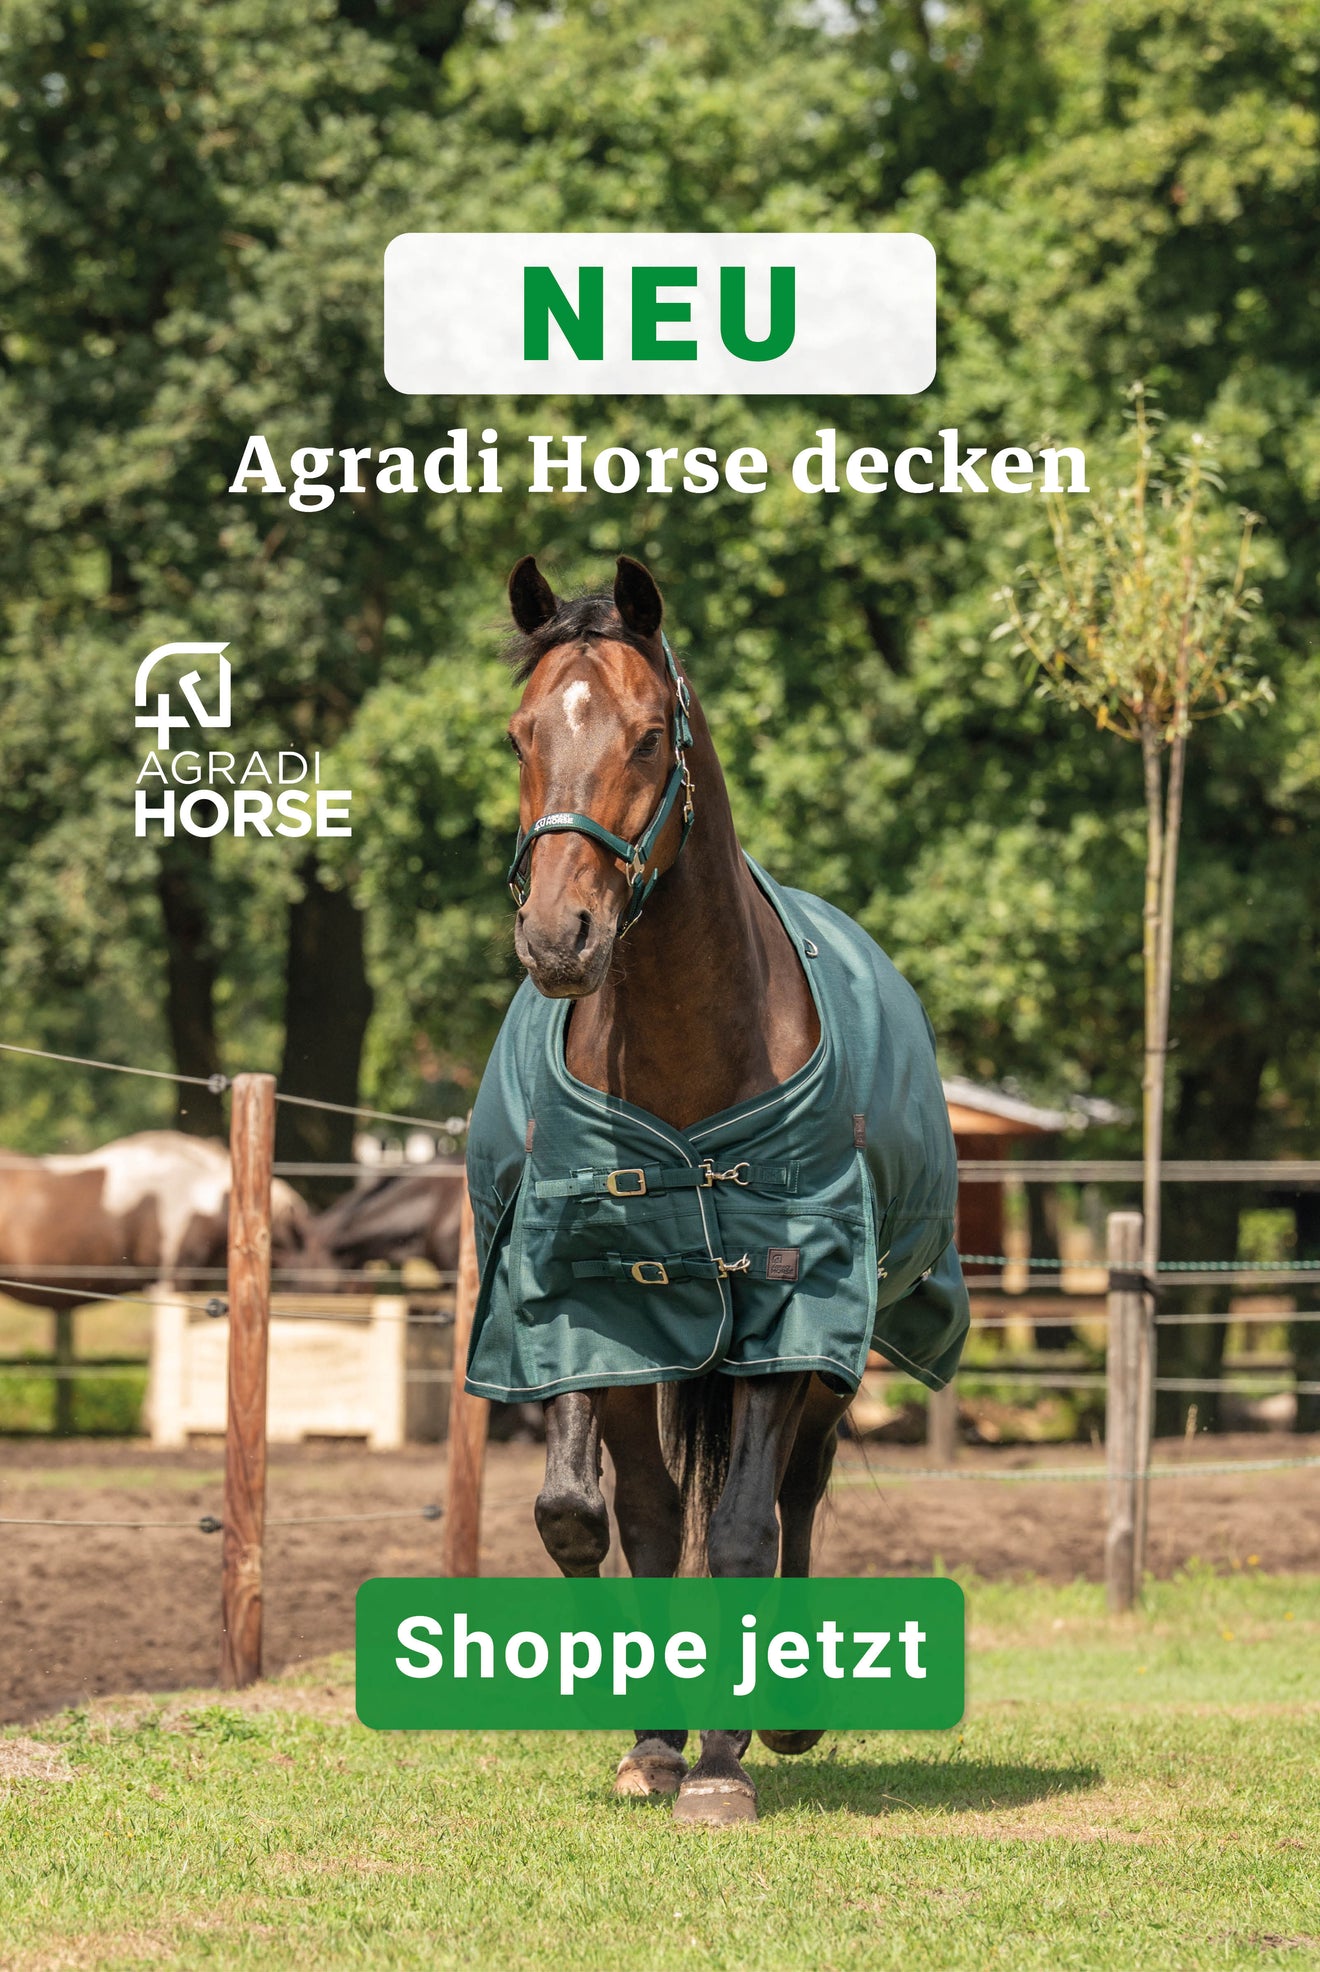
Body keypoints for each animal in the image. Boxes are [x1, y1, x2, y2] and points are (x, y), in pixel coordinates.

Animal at [464, 555, 969, 1825]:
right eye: (520, 734)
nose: (560, 936)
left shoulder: (794, 1316)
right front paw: (653, 1742)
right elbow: (614, 1517)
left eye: (650, 736)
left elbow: (741, 1526)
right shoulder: (593, 1314)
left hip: (832, 1359)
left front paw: (725, 1763)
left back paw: (783, 1717)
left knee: (800, 1492)